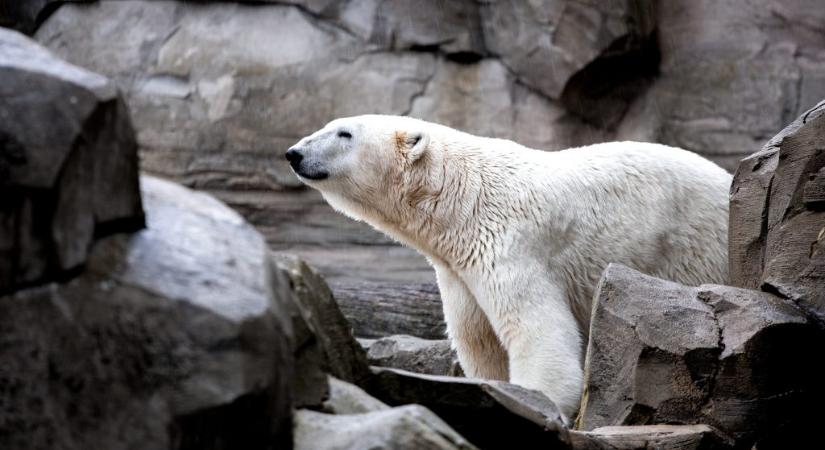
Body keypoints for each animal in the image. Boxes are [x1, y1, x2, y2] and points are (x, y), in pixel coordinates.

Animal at [286, 114, 732, 420]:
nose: (294, 153)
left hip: (694, 244)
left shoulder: (509, 244)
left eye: (344, 133)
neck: (459, 195)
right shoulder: (458, 267)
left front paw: (538, 401)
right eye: (328, 126)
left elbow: (536, 329)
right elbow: (479, 339)